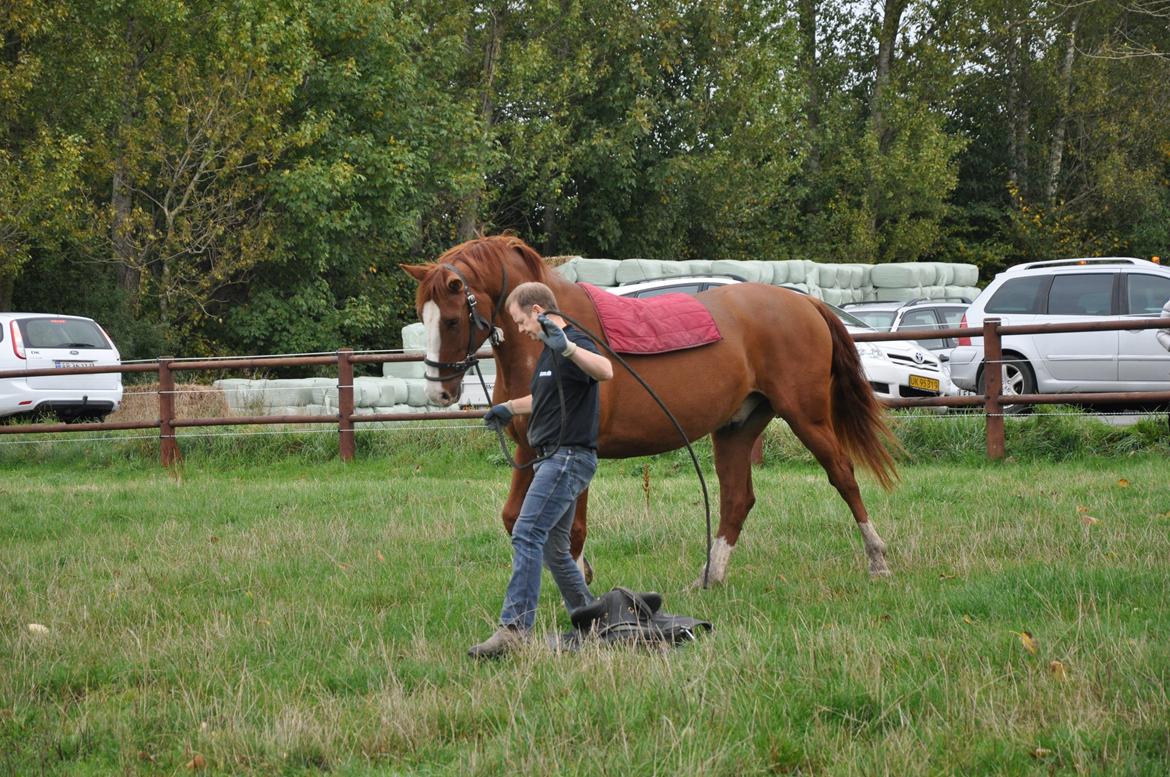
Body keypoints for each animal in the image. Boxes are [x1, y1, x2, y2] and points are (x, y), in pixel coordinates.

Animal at [402, 234, 893, 585]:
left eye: (451, 320)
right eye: (423, 316)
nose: (438, 392)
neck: (546, 340)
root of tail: (805, 302)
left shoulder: (576, 450)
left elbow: (572, 529)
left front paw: (578, 583)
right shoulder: (530, 448)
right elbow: (513, 518)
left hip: (807, 416)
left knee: (843, 476)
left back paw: (878, 560)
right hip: (736, 428)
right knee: (737, 499)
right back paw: (709, 577)